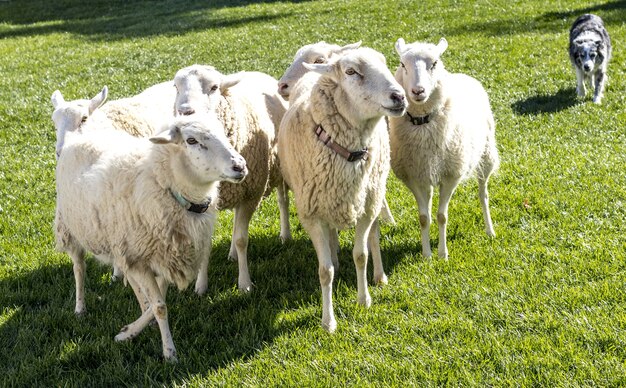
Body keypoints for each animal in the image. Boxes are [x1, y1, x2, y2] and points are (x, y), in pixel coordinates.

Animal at [54, 113, 247, 360]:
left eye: (223, 132)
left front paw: (129, 331)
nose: (239, 166)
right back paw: (80, 307)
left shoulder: (162, 257)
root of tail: (79, 134)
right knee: (79, 268)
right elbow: (160, 306)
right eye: (191, 140)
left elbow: (157, 301)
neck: (163, 185)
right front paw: (169, 352)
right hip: (71, 228)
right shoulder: (139, 258)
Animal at [173, 64, 290, 294]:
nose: (185, 111)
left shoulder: (252, 193)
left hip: (278, 170)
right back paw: (232, 254)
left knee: (282, 201)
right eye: (176, 87)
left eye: (214, 87)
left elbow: (242, 240)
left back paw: (285, 235)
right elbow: (206, 245)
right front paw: (201, 286)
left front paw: (244, 284)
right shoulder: (205, 201)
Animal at [276, 45, 404, 330]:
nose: (399, 96)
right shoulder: (312, 215)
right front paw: (328, 321)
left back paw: (379, 276)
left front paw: (364, 299)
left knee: (374, 236)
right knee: (331, 236)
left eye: (385, 63)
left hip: (374, 192)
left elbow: (361, 254)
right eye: (350, 71)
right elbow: (325, 271)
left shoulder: (366, 207)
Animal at [388, 38, 500, 260]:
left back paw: (490, 230)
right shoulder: (414, 177)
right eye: (403, 64)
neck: (423, 122)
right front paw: (426, 255)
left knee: (483, 194)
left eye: (434, 63)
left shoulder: (451, 175)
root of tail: (463, 75)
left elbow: (442, 216)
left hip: (486, 155)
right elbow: (424, 217)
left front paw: (442, 254)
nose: (418, 91)